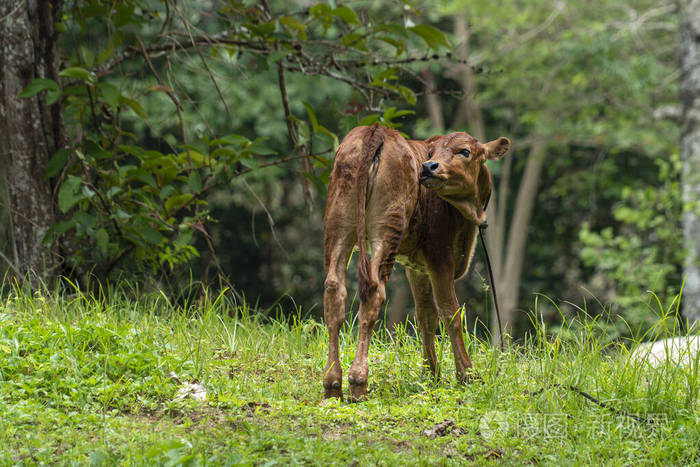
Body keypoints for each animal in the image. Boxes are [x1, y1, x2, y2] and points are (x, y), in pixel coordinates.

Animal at [322, 124, 508, 402]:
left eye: (465, 151)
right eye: (431, 152)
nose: (428, 166)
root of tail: (376, 129)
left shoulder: (416, 266)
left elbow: (426, 314)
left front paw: (431, 375)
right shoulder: (440, 253)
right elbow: (450, 312)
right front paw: (466, 374)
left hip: (338, 222)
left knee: (334, 290)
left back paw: (333, 384)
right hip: (388, 226)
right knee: (374, 292)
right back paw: (358, 381)